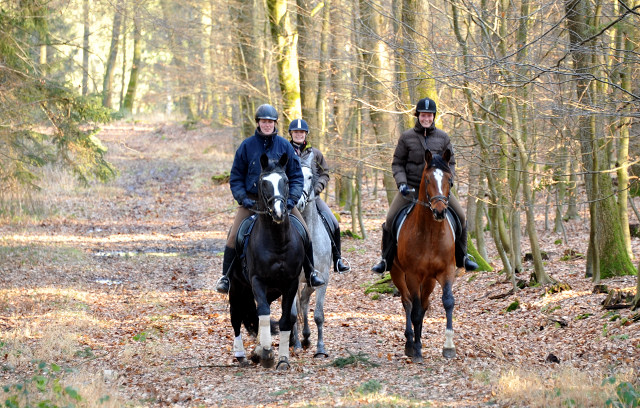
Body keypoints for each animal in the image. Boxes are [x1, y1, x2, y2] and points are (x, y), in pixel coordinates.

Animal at [229, 152, 304, 370]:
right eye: (263, 183)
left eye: (286, 181)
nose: (278, 212)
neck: (277, 242)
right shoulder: (257, 281)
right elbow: (262, 313)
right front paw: (266, 353)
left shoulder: (290, 283)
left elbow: (286, 319)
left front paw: (283, 359)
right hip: (236, 287)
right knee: (236, 316)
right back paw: (242, 355)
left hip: (272, 290)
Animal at [390, 148, 460, 362]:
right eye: (428, 179)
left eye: (449, 180)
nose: (439, 211)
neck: (430, 234)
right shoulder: (412, 274)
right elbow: (415, 310)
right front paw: (417, 349)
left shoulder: (446, 271)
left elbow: (447, 302)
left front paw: (448, 347)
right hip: (398, 273)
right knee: (408, 303)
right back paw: (410, 343)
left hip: (428, 280)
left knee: (424, 303)